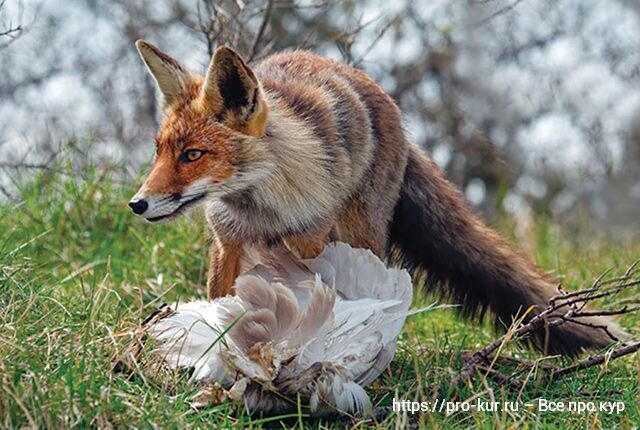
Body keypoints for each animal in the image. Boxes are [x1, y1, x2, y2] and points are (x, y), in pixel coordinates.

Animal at [130, 39, 624, 356]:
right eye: (159, 152)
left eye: (193, 155)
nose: (137, 204)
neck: (264, 211)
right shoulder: (227, 242)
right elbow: (220, 304)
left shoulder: (310, 242)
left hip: (358, 235)